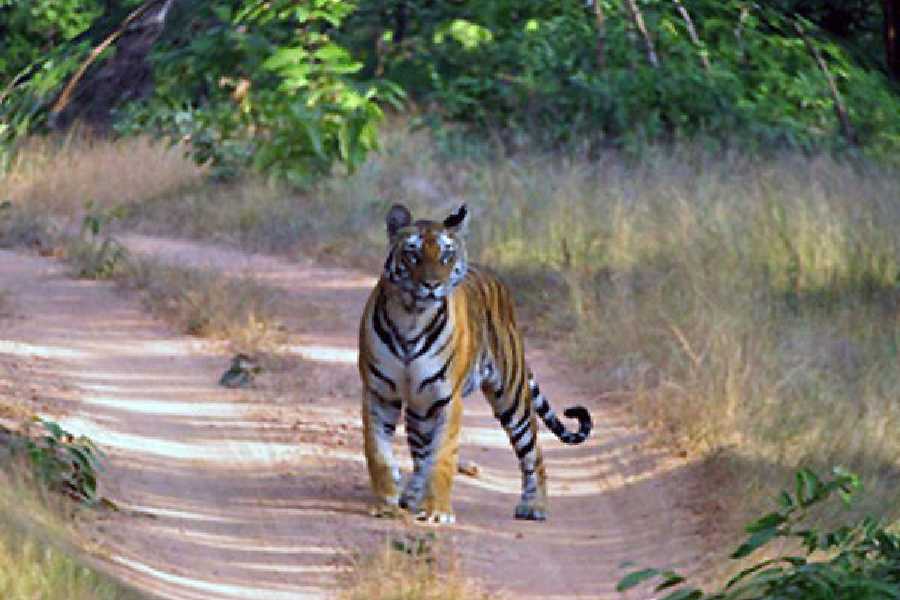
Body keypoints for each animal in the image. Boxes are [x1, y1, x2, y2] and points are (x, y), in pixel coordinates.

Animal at [358, 203, 592, 524]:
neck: (411, 316)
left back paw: (535, 505)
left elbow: (442, 456)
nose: (432, 285)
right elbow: (378, 451)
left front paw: (437, 512)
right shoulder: (379, 393)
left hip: (511, 396)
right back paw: (413, 496)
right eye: (413, 255)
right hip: (420, 406)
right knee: (420, 453)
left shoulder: (446, 399)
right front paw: (386, 503)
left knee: (533, 452)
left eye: (446, 256)